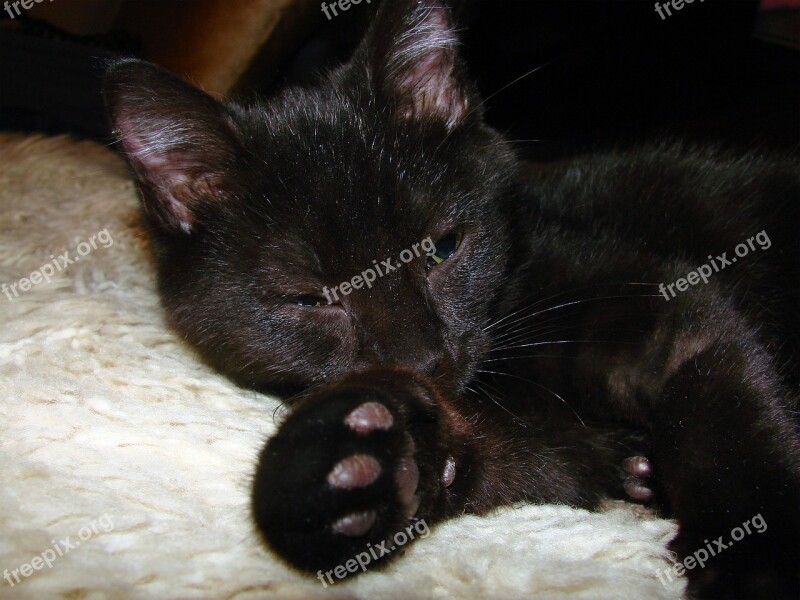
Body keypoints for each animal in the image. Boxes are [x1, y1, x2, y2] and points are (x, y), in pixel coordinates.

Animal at [103, 2, 796, 596]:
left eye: (443, 248)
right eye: (309, 300)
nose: (425, 360)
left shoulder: (654, 303)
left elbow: (719, 413)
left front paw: (755, 562)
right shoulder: (552, 451)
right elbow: (508, 462)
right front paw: (345, 467)